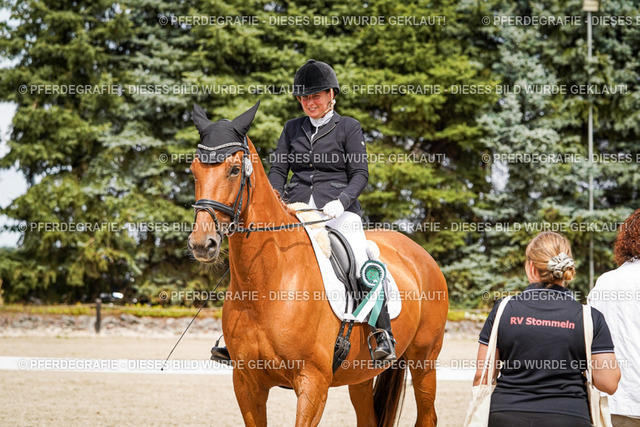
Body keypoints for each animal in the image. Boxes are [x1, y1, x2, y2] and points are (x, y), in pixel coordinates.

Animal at [187, 102, 449, 427]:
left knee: (428, 414)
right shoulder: (246, 383)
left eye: (234, 170)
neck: (267, 283)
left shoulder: (313, 382)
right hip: (361, 374)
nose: (202, 243)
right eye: (193, 170)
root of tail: (421, 255)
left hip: (424, 359)